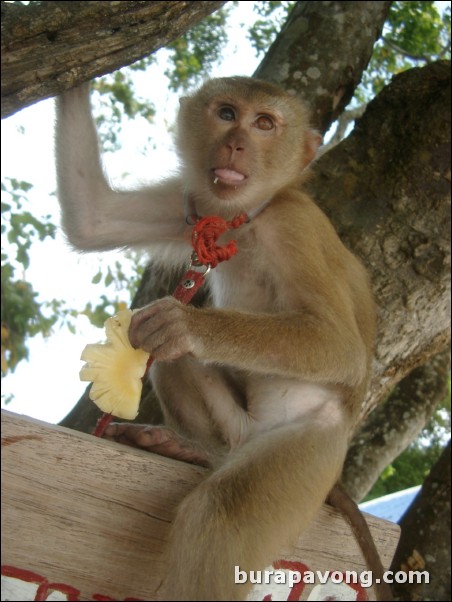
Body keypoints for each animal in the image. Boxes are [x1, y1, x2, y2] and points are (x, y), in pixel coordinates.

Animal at [53, 77, 378, 596]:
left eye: (264, 123)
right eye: (227, 114)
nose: (236, 143)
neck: (244, 219)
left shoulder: (294, 227)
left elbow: (340, 348)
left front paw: (185, 324)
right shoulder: (191, 204)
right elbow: (93, 219)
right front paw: (73, 73)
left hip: (311, 448)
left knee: (221, 513)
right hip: (238, 430)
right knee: (169, 362)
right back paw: (194, 451)